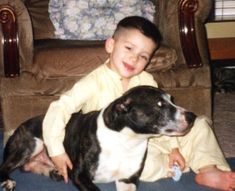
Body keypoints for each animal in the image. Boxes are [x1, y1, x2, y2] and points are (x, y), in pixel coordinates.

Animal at [0, 86, 196, 191]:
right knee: (4, 166)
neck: (126, 140)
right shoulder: (81, 175)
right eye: (159, 104)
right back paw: (8, 181)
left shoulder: (128, 180)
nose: (192, 115)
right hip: (30, 145)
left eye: (171, 99)